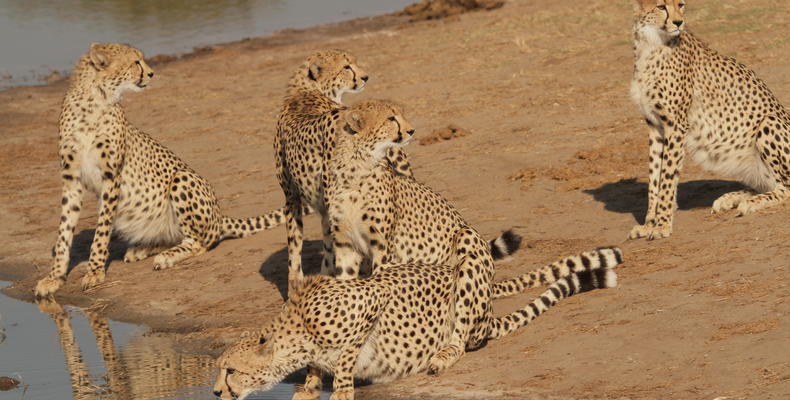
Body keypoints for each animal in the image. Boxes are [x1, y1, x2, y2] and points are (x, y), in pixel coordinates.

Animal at [34, 43, 290, 296]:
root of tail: (219, 217)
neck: (92, 102)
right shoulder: (71, 179)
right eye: (135, 62)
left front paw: (94, 271)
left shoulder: (111, 176)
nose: (151, 73)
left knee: (201, 242)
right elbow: (64, 230)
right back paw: (142, 249)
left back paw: (166, 257)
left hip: (182, 178)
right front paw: (54, 277)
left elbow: (101, 230)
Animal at [212, 247, 624, 400]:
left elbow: (345, 358)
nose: (214, 392)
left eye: (230, 370)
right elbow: (318, 368)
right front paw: (309, 387)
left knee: (461, 342)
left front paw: (341, 389)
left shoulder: (371, 301)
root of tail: (488, 317)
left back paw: (441, 357)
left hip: (466, 270)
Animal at [276, 49, 418, 282]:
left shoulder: (296, 198)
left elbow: (296, 249)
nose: (365, 77)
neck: (306, 90)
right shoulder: (304, 201)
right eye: (346, 67)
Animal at [628, 0, 788, 239]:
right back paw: (731, 198)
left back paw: (750, 203)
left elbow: (667, 179)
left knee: (785, 188)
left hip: (769, 122)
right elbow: (654, 177)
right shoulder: (655, 125)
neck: (651, 43)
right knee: (769, 183)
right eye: (661, 6)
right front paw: (649, 224)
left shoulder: (676, 125)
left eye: (681, 4)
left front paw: (662, 225)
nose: (679, 22)